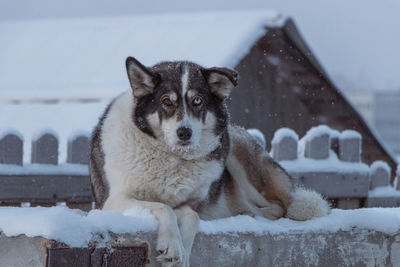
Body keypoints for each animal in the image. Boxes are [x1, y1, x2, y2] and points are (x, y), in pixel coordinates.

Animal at [90, 57, 328, 266]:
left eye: (197, 101)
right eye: (166, 101)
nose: (184, 132)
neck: (171, 157)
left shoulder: (191, 204)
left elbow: (192, 216)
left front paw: (182, 255)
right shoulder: (113, 201)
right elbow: (164, 207)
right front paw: (174, 247)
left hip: (236, 152)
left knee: (280, 206)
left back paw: (248, 212)